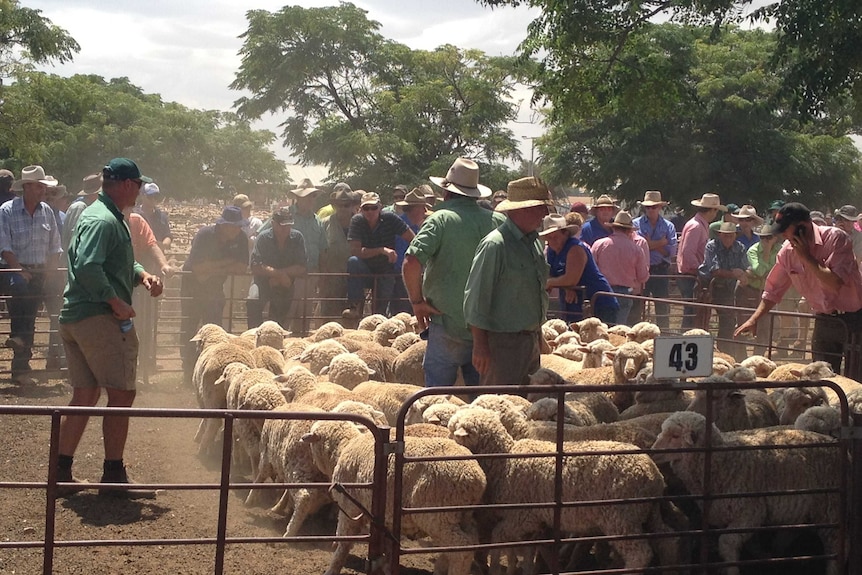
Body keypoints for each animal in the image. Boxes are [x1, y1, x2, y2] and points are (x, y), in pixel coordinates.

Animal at [304, 418, 486, 575]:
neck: (343, 448)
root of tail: (477, 477)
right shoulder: (387, 519)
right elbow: (388, 548)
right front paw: (387, 567)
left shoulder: (350, 508)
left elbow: (344, 542)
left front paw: (332, 568)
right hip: (462, 515)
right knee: (468, 542)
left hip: (438, 515)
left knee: (461, 549)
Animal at [448, 408, 680, 572]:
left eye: (452, 431)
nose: (447, 440)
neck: (504, 460)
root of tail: (654, 475)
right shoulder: (535, 524)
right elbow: (526, 551)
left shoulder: (522, 516)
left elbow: (498, 539)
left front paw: (496, 568)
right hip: (643, 514)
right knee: (666, 541)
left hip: (621, 517)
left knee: (640, 554)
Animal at [660, 412, 840, 575]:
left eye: (675, 435)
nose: (654, 451)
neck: (722, 459)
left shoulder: (750, 512)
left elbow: (727, 542)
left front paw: (732, 570)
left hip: (829, 510)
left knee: (835, 547)